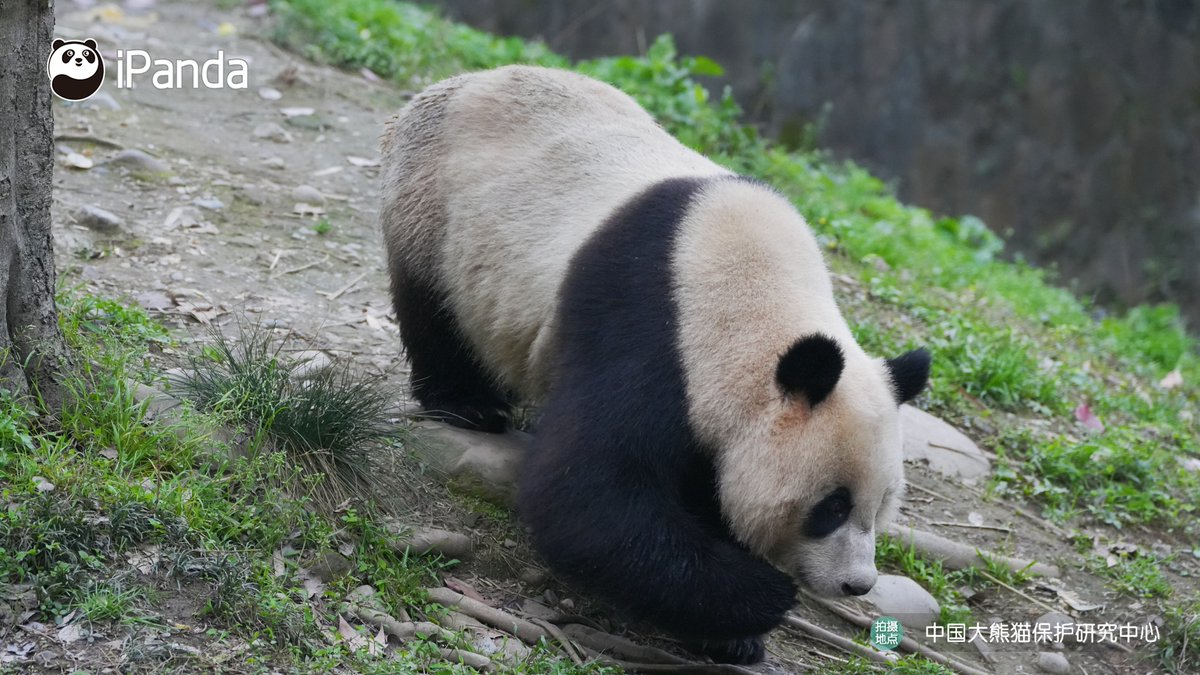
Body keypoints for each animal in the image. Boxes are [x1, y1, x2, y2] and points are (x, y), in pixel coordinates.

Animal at [380, 65, 930, 664]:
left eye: (884, 504)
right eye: (831, 506)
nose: (857, 583)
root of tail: (461, 80)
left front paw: (731, 634)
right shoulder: (647, 329)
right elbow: (586, 494)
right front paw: (761, 596)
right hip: (433, 209)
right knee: (436, 312)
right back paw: (469, 405)